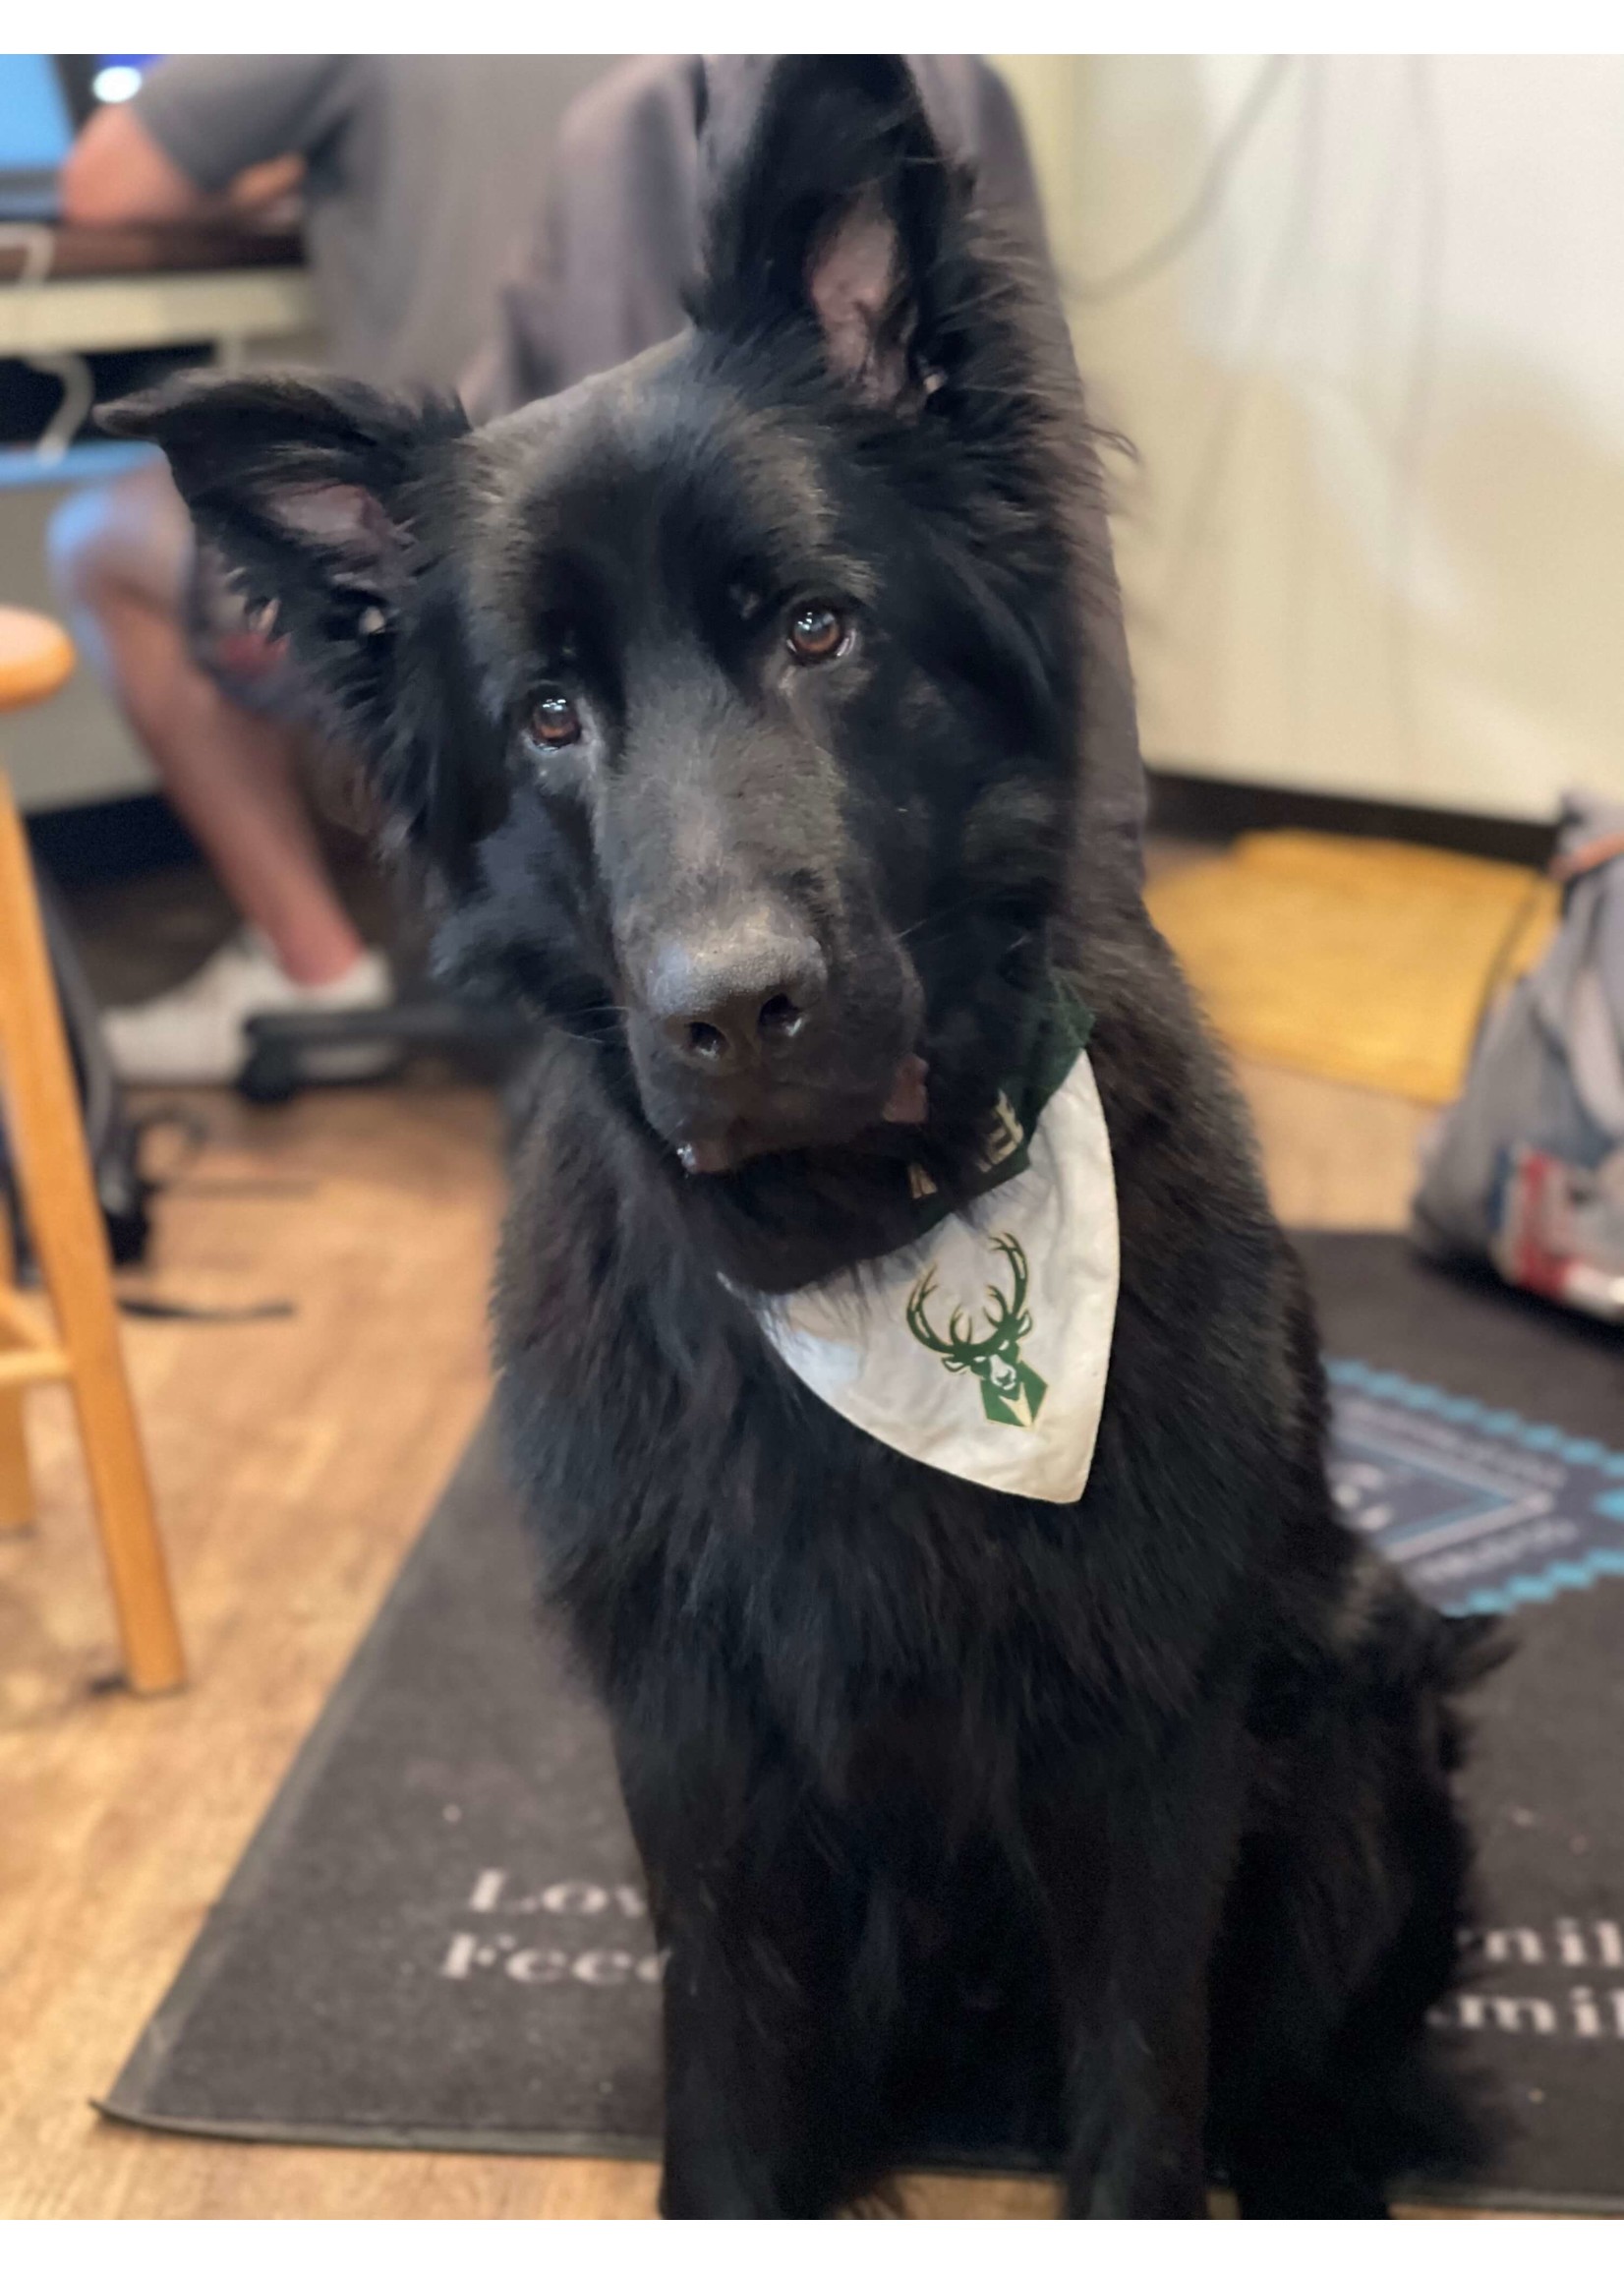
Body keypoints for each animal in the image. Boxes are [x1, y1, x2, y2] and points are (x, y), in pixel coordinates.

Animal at [110, 57, 1491, 2219]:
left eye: (821, 629)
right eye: (550, 716)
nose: (731, 1012)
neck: (864, 1231)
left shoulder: (1146, 1753)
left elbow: (1142, 2114)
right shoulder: (705, 1777)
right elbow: (731, 2116)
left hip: (1352, 1724)